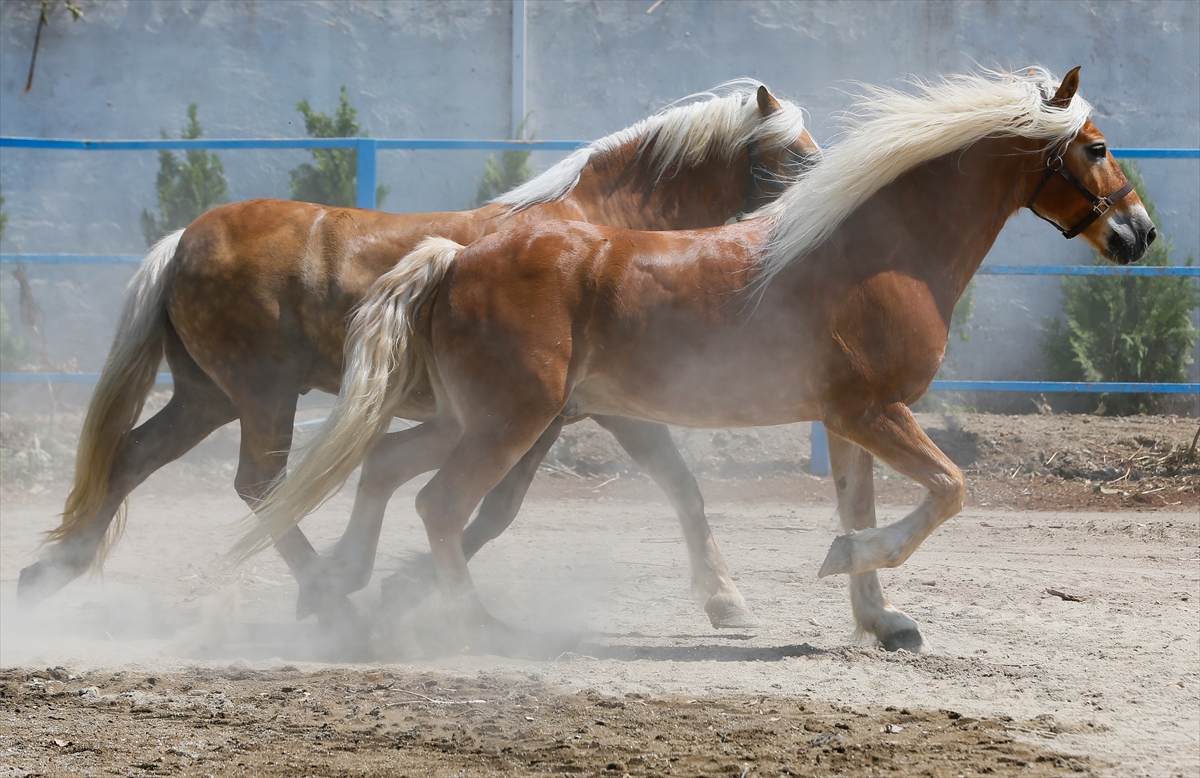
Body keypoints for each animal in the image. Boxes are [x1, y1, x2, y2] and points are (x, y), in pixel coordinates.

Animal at [18, 80, 816, 633]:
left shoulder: (554, 413)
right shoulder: (581, 410)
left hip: (205, 398)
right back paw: (329, 599)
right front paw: (726, 597)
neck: (598, 235)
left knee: (132, 458)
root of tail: (184, 239)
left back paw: (49, 573)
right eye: (789, 157)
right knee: (259, 485)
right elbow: (522, 505)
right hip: (261, 397)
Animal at [241, 66, 1152, 653]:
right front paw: (841, 570)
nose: (1140, 233)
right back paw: (473, 627)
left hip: (472, 418)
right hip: (508, 421)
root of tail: (458, 256)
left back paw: (346, 587)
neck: (880, 252)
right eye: (1098, 146)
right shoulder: (874, 411)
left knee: (387, 467)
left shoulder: (848, 419)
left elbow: (862, 505)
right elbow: (947, 491)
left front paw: (882, 620)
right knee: (439, 505)